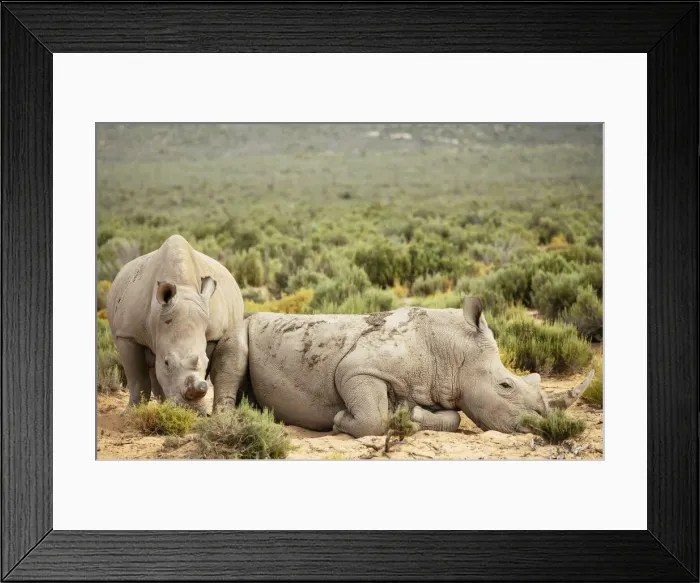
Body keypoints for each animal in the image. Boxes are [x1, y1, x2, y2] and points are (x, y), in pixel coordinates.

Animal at [107, 234, 246, 414]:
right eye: (167, 363)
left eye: (206, 361)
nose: (190, 409)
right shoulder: (127, 334)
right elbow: (137, 378)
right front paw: (130, 414)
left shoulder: (213, 335)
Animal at [210, 297, 593, 436]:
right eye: (506, 385)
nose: (540, 423)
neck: (452, 351)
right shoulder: (358, 369)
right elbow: (372, 417)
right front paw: (339, 421)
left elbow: (453, 418)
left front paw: (411, 416)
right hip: (240, 326)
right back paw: (236, 420)